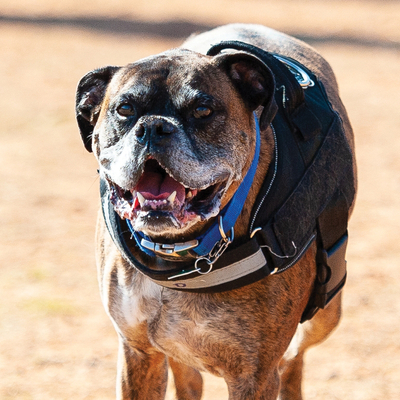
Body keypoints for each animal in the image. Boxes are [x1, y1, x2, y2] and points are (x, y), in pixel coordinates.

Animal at [75, 24, 356, 400]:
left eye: (202, 110)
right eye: (124, 109)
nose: (154, 127)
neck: (180, 256)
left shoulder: (253, 376)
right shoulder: (139, 353)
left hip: (325, 314)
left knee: (293, 359)